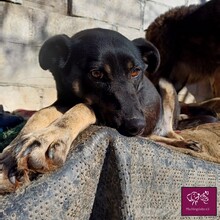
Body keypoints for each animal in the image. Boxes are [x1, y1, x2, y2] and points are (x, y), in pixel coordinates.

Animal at [0, 28, 199, 193]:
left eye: (135, 72)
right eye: (96, 74)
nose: (137, 126)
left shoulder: (105, 115)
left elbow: (84, 107)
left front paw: (50, 137)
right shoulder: (63, 102)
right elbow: (40, 113)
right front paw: (10, 155)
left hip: (165, 85)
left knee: (168, 131)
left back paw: (185, 142)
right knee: (154, 137)